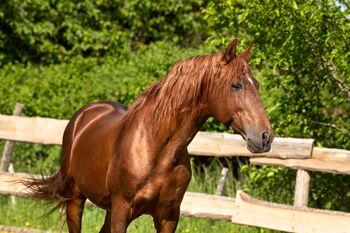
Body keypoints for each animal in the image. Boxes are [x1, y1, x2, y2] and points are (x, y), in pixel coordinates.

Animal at [26, 39, 274, 232]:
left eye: (257, 84)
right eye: (236, 85)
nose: (265, 137)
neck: (155, 149)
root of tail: (82, 117)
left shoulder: (168, 216)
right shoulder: (121, 210)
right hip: (75, 200)